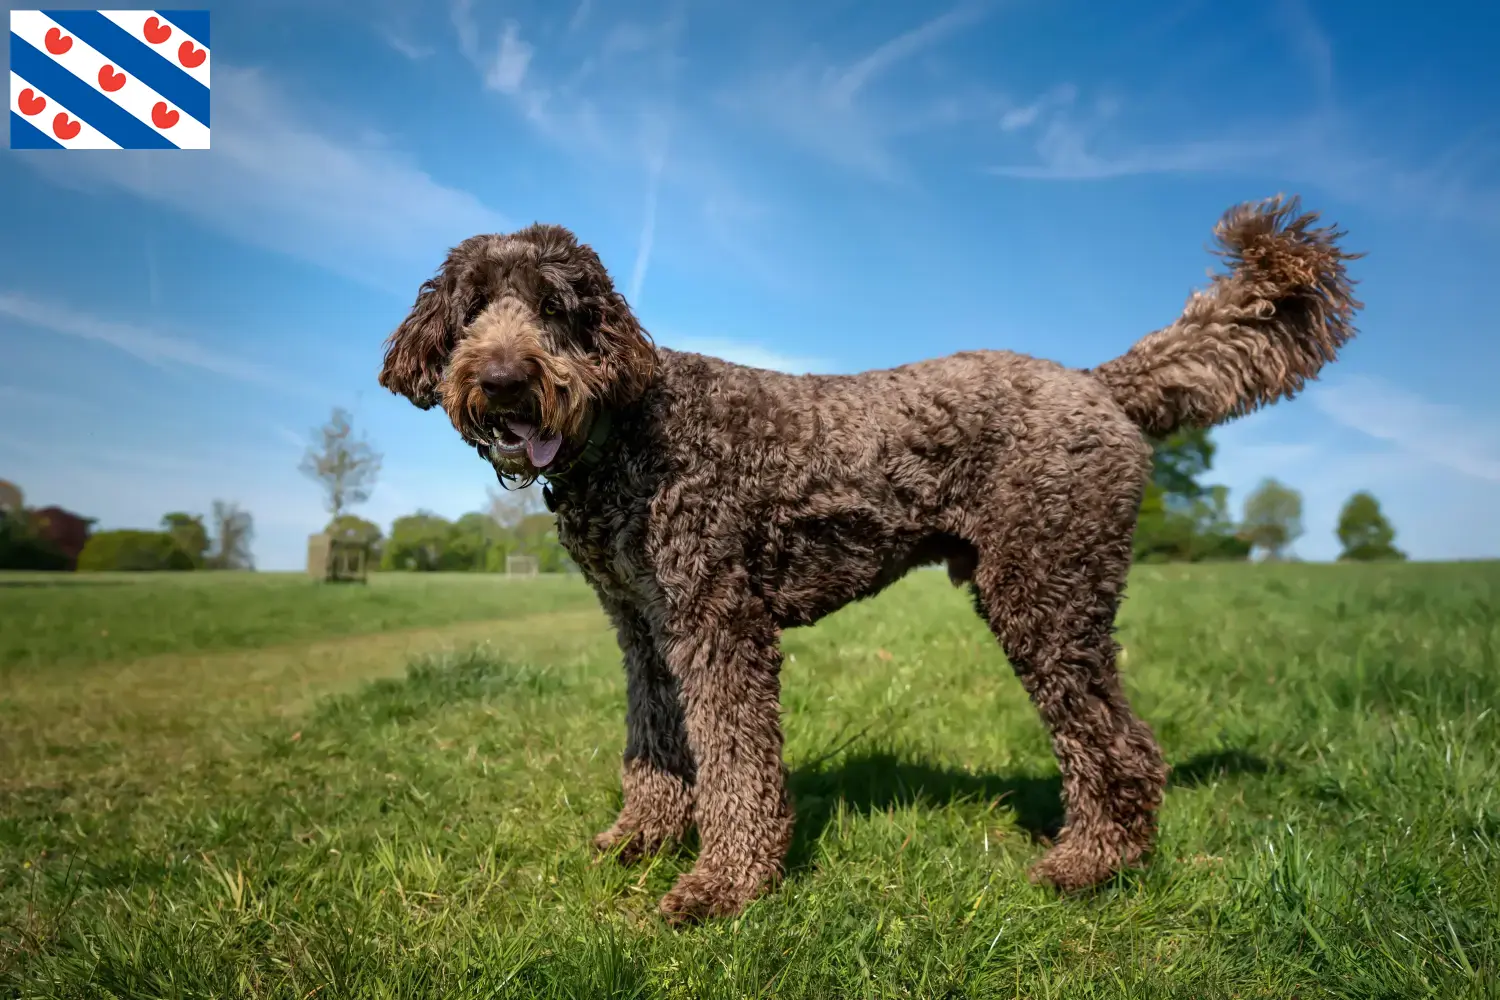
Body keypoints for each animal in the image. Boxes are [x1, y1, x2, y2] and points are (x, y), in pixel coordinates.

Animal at [375, 199, 1362, 929]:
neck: (628, 431)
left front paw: (724, 885)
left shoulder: (718, 623)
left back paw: (1088, 866)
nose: (503, 380)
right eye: (471, 309)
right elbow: (655, 747)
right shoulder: (644, 629)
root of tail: (1096, 383)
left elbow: (735, 765)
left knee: (1118, 748)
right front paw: (640, 841)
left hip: (1046, 594)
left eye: (556, 307)